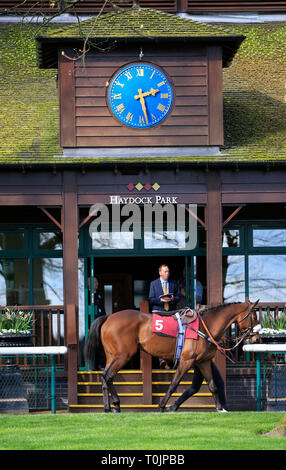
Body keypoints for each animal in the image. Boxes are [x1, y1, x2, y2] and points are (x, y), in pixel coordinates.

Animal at [84, 300, 260, 414]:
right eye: (254, 317)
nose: (256, 338)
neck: (205, 327)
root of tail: (108, 317)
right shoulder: (186, 361)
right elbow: (174, 384)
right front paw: (162, 405)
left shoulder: (203, 362)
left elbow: (212, 385)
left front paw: (219, 408)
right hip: (122, 355)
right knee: (108, 376)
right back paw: (115, 404)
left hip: (112, 356)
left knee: (105, 377)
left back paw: (109, 407)